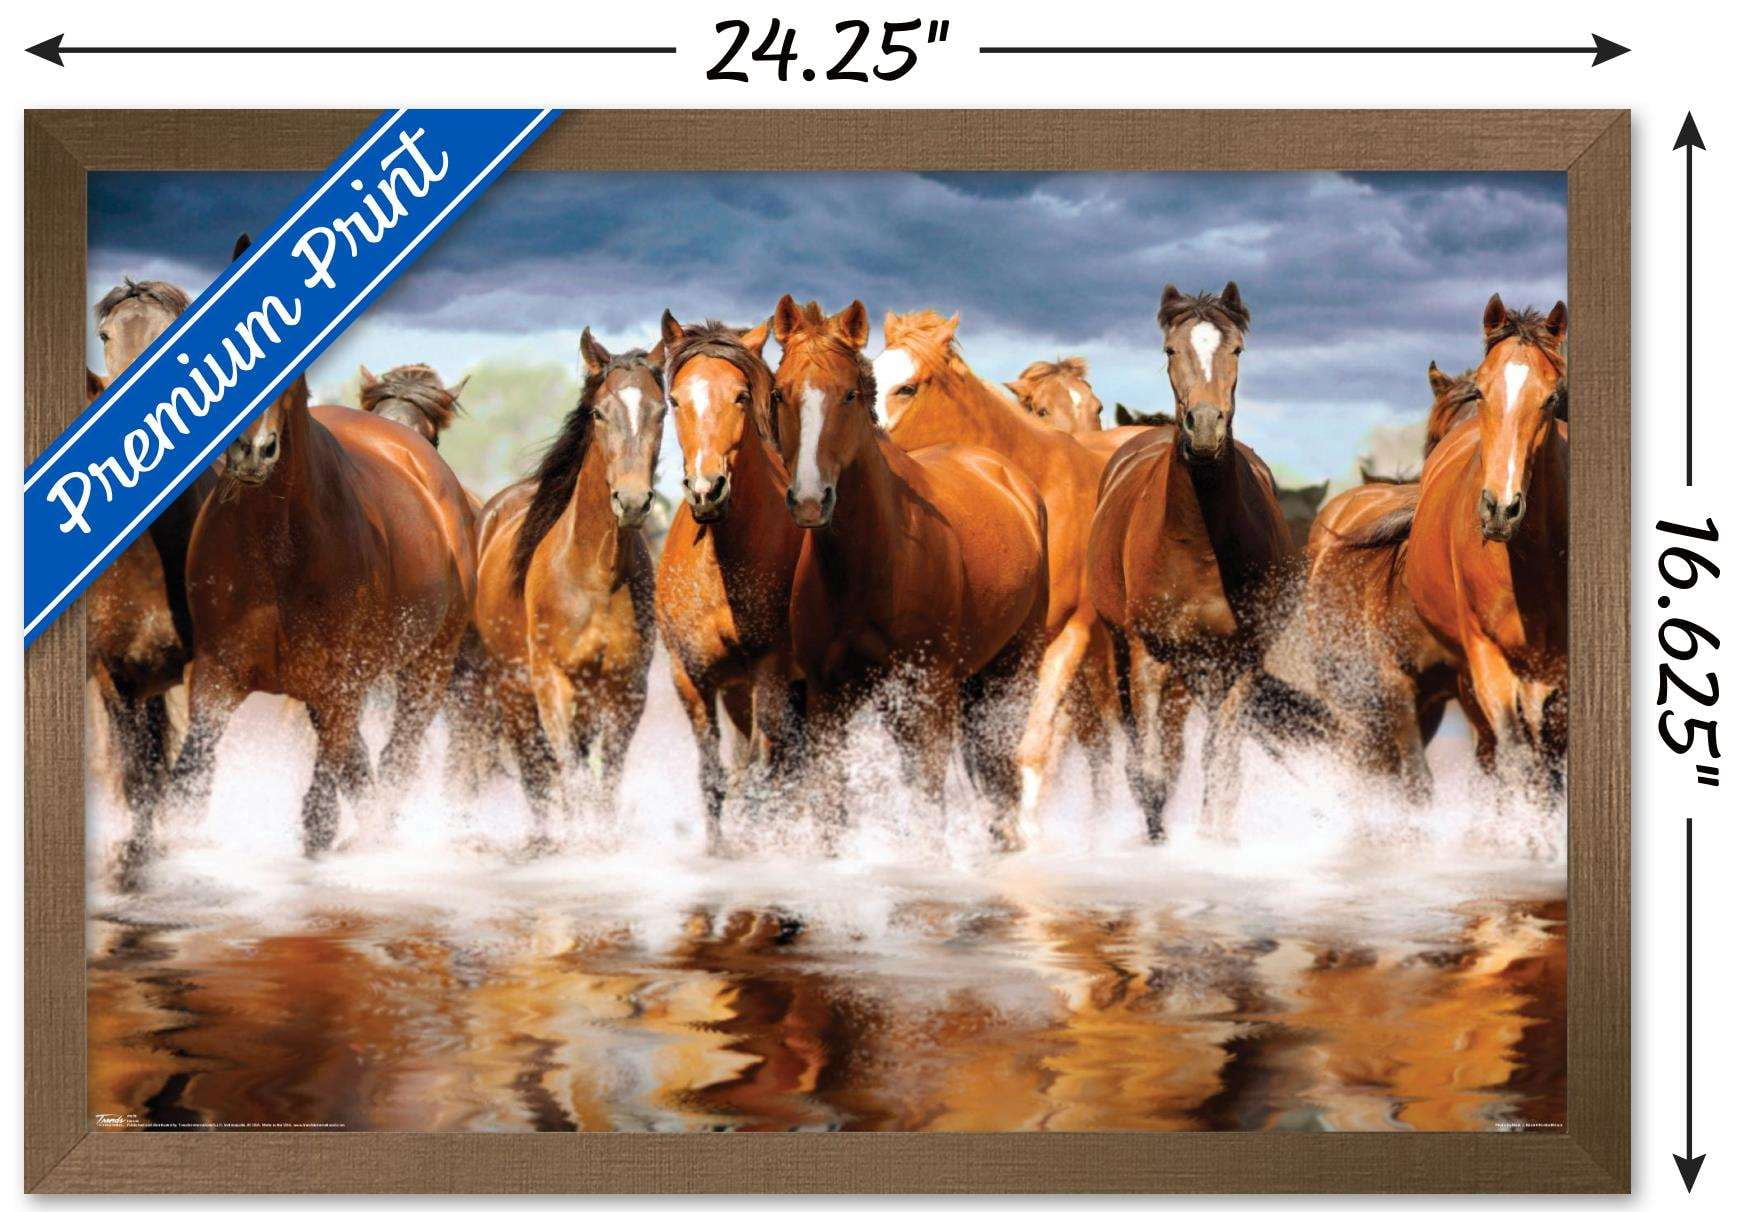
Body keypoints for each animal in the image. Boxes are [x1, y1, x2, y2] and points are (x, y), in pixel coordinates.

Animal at [157, 372, 477, 867]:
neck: (277, 543)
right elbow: (188, 790)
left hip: (429, 665)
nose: (252, 450)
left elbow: (320, 812)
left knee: (397, 756)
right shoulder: (217, 674)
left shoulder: (339, 682)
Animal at [471, 330, 665, 833]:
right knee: (535, 775)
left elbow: (604, 787)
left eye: (661, 410)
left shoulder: (625, 691)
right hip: (513, 690)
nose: (632, 501)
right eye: (599, 412)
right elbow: (571, 781)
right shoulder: (552, 684)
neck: (596, 574)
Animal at [652, 312, 805, 852]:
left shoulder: (771, 672)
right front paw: (719, 851)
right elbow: (714, 777)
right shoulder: (691, 676)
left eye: (740, 395)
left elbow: (761, 773)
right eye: (676, 399)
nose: (706, 490)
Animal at [770, 297, 1050, 848]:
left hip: (1010, 670)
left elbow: (927, 808)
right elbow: (831, 808)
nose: (811, 500)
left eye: (849, 394)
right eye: (779, 392)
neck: (873, 562)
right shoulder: (827, 699)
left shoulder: (928, 698)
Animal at [1086, 281, 1316, 841]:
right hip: (1126, 652)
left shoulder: (1239, 661)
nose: (1206, 427)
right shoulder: (1148, 656)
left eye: (1238, 350)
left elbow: (1223, 763)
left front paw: (1216, 840)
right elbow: (1152, 766)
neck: (1197, 544)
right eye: (1171, 349)